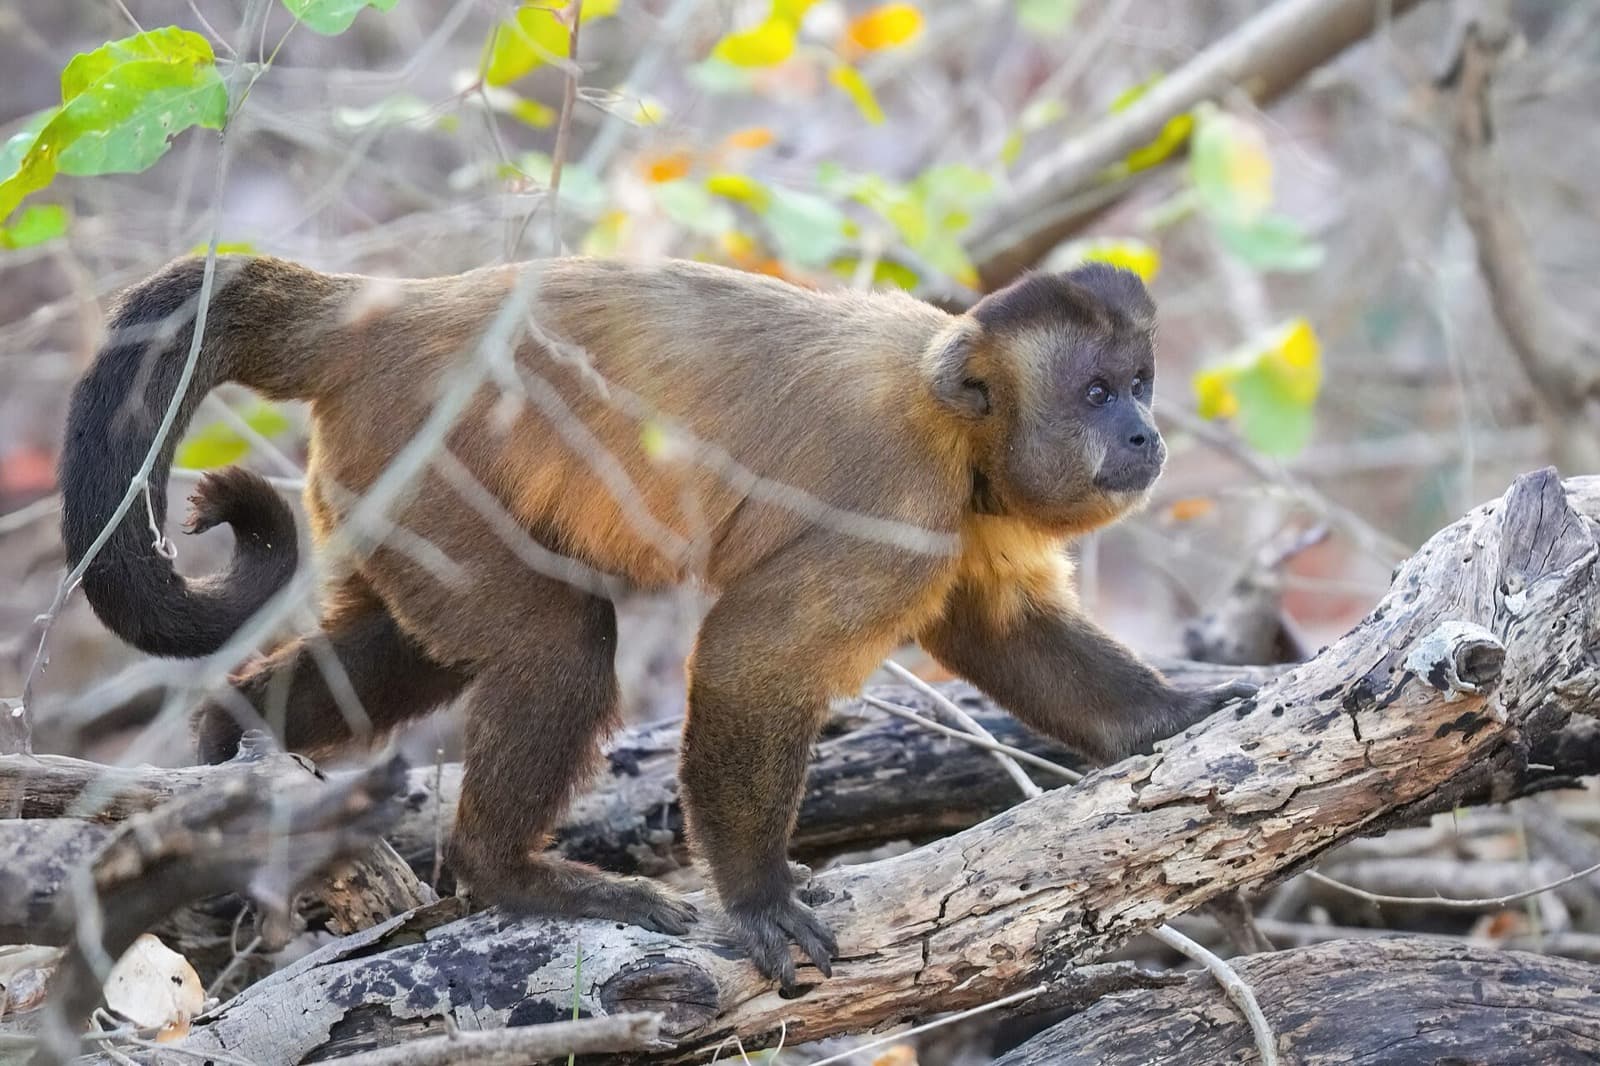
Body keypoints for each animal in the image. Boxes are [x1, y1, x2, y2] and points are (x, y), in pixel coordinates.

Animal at [59, 253, 1256, 989]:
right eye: (1097, 394)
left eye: (1140, 382)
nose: (1144, 433)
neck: (961, 422)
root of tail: (389, 310)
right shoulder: (898, 507)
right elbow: (749, 663)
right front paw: (759, 896)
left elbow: (1003, 634)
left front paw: (1171, 721)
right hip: (422, 450)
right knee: (560, 645)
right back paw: (503, 874)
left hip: (380, 480)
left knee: (407, 645)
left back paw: (233, 742)